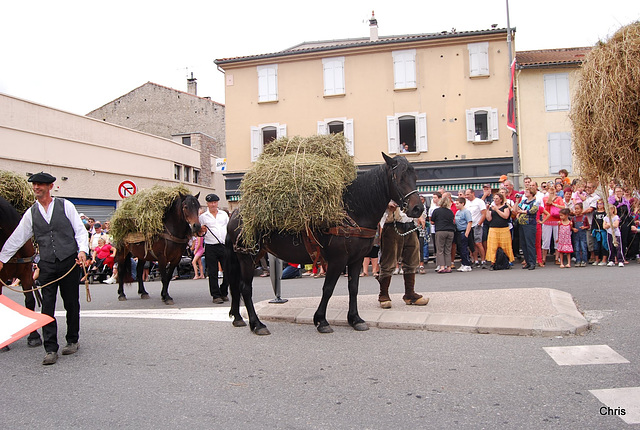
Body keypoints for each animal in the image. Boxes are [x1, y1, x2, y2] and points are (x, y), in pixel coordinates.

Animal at [225, 153, 424, 334]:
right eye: (399, 178)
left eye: (415, 177)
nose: (418, 208)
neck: (354, 211)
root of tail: (235, 214)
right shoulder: (337, 260)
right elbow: (328, 289)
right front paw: (321, 320)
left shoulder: (356, 259)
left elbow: (353, 288)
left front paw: (355, 319)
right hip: (247, 257)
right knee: (245, 288)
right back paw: (257, 324)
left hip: (251, 256)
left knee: (236, 286)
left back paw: (238, 318)